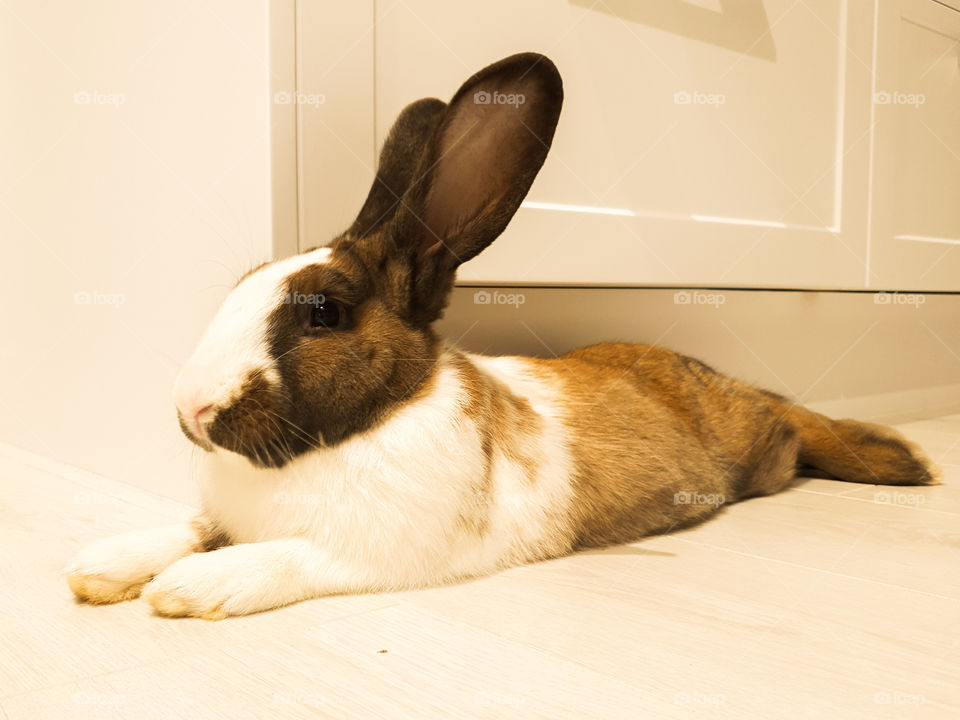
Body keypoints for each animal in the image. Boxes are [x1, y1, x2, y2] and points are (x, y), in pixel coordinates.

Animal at [66, 52, 940, 620]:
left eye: (324, 313)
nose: (190, 408)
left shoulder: (371, 551)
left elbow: (279, 556)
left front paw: (189, 591)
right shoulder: (224, 516)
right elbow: (190, 529)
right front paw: (100, 566)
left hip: (763, 446)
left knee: (798, 427)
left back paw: (898, 459)